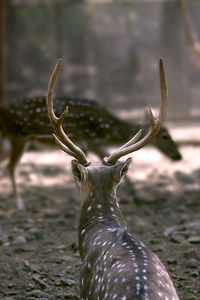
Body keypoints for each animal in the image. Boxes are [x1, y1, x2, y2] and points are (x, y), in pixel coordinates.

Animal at [0, 91, 181, 211]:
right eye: (165, 136)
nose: (178, 156)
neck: (108, 130)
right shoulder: (91, 141)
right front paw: (136, 196)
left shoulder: (88, 144)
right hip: (18, 136)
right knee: (11, 167)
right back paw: (19, 205)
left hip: (11, 139)